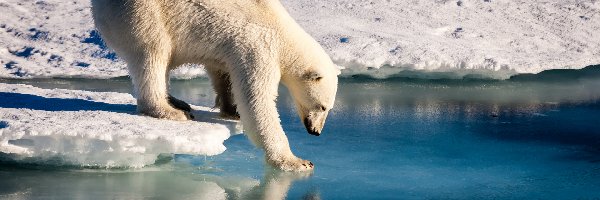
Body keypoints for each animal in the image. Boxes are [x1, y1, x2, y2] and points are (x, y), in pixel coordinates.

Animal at [92, 0, 340, 172]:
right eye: (322, 107)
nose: (316, 131)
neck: (282, 33)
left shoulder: (230, 47)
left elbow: (223, 73)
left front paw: (232, 110)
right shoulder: (258, 46)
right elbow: (257, 100)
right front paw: (298, 162)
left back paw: (177, 101)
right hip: (143, 13)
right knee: (153, 53)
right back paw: (170, 111)